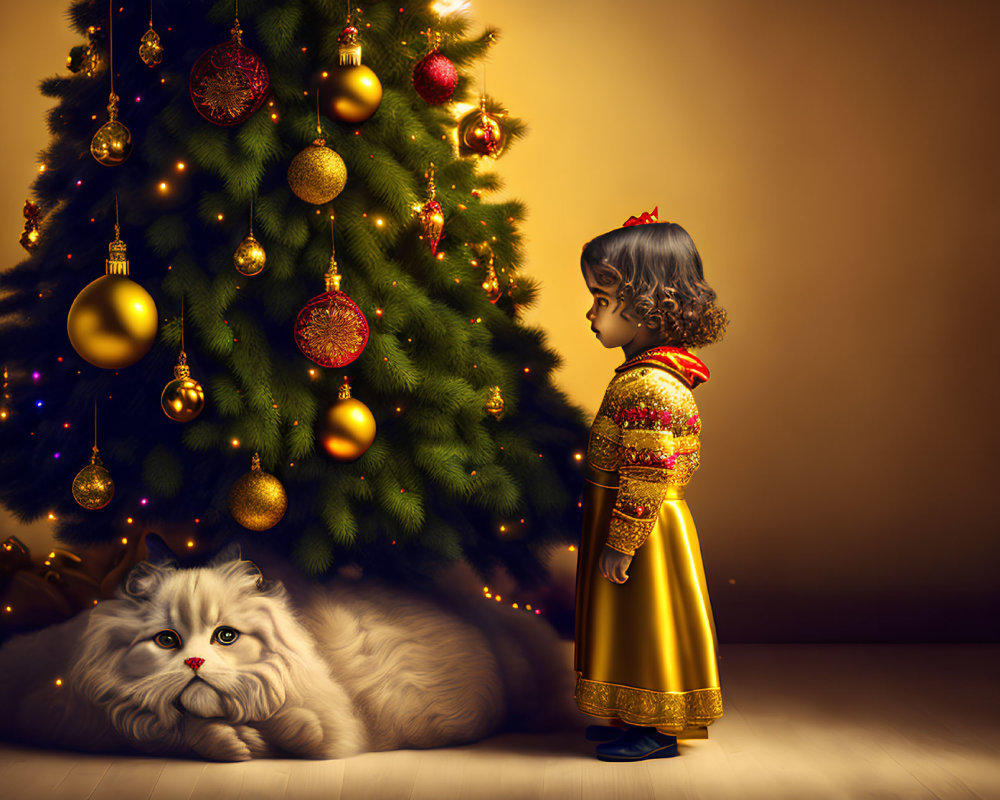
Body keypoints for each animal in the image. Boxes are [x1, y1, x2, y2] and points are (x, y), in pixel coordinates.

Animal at [0, 552, 580, 760]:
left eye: (225, 637)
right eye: (166, 641)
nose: (194, 665)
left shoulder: (334, 723)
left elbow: (300, 727)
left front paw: (256, 735)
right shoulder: (74, 714)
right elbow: (171, 730)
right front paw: (229, 742)